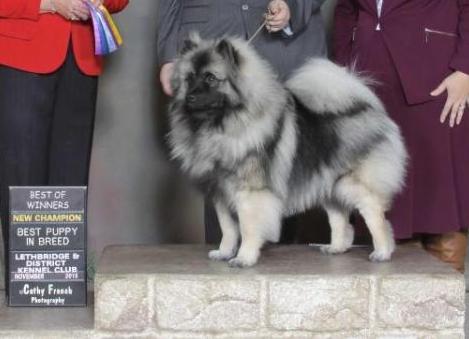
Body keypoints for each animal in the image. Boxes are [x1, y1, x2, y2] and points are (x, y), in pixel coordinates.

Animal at [168, 34, 406, 268]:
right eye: (188, 79)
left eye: (210, 78)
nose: (190, 97)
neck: (218, 127)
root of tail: (367, 107)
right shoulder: (220, 193)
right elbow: (227, 229)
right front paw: (224, 252)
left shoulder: (250, 194)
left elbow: (247, 228)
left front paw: (244, 258)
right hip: (330, 186)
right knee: (340, 220)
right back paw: (336, 248)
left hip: (353, 185)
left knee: (377, 217)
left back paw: (382, 252)